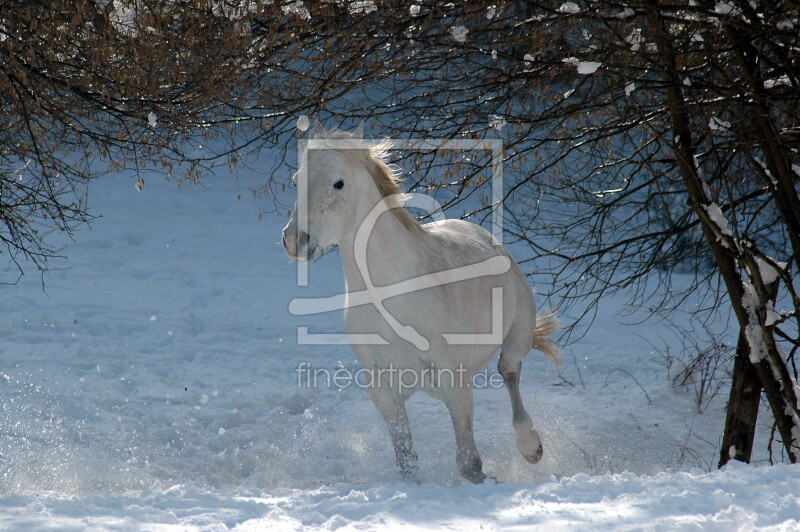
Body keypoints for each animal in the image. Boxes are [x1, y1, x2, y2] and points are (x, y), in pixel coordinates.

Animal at [284, 124, 560, 482]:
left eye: (338, 183)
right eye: (295, 180)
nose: (294, 241)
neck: (391, 301)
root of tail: (483, 234)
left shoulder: (453, 381)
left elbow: (470, 464)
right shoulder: (384, 392)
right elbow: (407, 463)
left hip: (516, 339)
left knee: (509, 372)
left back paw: (531, 448)